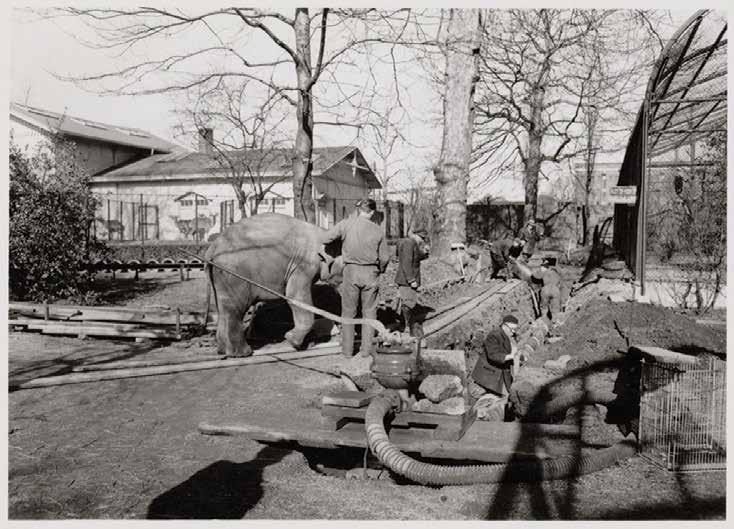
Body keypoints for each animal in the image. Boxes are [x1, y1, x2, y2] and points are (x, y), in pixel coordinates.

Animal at [204, 212, 342, 356]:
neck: (323, 232)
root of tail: (212, 248)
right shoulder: (304, 265)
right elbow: (294, 296)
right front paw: (292, 340)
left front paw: (305, 343)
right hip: (233, 276)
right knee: (235, 309)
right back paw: (243, 353)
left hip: (219, 277)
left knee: (222, 308)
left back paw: (222, 351)